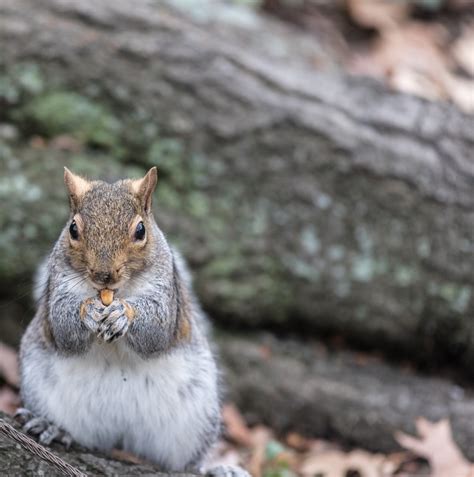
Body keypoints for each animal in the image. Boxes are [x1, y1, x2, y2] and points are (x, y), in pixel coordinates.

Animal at [16, 165, 250, 474]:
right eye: (73, 229)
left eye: (140, 230)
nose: (104, 274)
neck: (116, 292)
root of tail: (121, 436)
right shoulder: (58, 287)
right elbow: (62, 326)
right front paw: (88, 312)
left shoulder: (166, 294)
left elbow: (156, 330)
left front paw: (122, 314)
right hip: (41, 385)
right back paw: (52, 427)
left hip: (195, 417)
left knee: (187, 463)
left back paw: (215, 470)